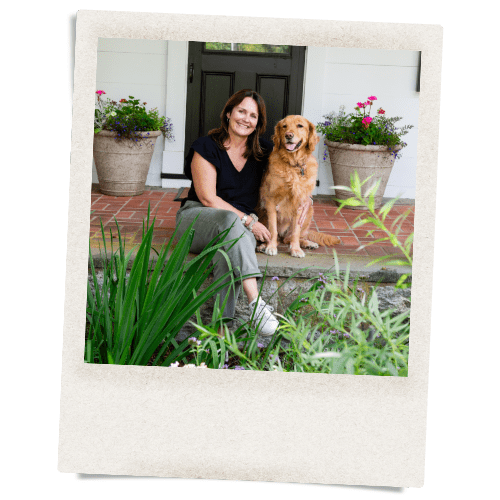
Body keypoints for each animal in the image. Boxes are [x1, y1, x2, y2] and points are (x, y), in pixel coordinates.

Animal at [258, 114, 340, 258]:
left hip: (309, 211)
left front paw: (295, 249)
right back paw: (264, 245)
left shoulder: (300, 203)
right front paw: (271, 247)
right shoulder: (271, 200)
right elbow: (273, 229)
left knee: (289, 238)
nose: (288, 135)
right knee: (279, 237)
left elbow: (296, 232)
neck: (294, 165)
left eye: (300, 125)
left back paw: (307, 243)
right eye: (284, 126)